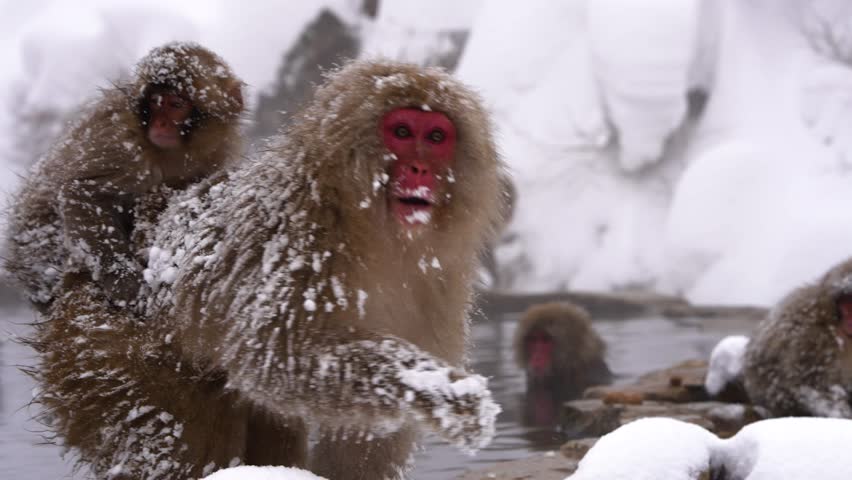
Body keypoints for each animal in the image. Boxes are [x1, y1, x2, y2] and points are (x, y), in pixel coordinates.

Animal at [3, 41, 244, 311]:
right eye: (155, 102)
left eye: (175, 104)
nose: (160, 124)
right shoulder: (122, 142)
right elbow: (81, 192)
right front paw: (124, 282)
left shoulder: (217, 151)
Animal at [30, 59, 503, 480]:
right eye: (402, 132)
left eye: (436, 136)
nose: (420, 169)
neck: (370, 225)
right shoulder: (297, 237)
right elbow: (278, 357)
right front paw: (435, 389)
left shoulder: (440, 277)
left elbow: (363, 433)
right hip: (103, 351)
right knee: (178, 438)